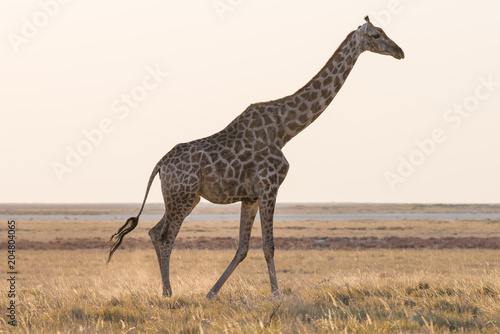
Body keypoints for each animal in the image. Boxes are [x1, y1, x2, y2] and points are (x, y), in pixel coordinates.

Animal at [107, 16, 404, 298]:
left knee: (154, 232)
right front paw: (276, 295)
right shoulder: (269, 186)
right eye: (376, 34)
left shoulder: (249, 197)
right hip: (183, 196)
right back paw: (168, 293)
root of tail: (159, 165)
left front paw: (212, 292)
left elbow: (242, 247)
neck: (284, 129)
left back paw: (167, 289)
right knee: (166, 237)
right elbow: (268, 245)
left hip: (184, 198)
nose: (399, 51)